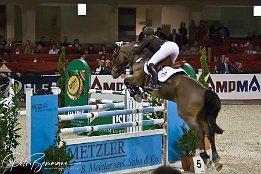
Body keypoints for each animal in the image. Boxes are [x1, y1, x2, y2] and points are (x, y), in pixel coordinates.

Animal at [110, 41, 222, 170]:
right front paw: (139, 93)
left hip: (187, 115)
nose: (113, 72)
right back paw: (216, 160)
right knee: (210, 133)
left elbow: (127, 81)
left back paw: (206, 158)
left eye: (114, 56)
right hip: (201, 116)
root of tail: (204, 91)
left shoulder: (137, 78)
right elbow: (128, 83)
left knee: (200, 133)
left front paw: (136, 94)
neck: (139, 58)